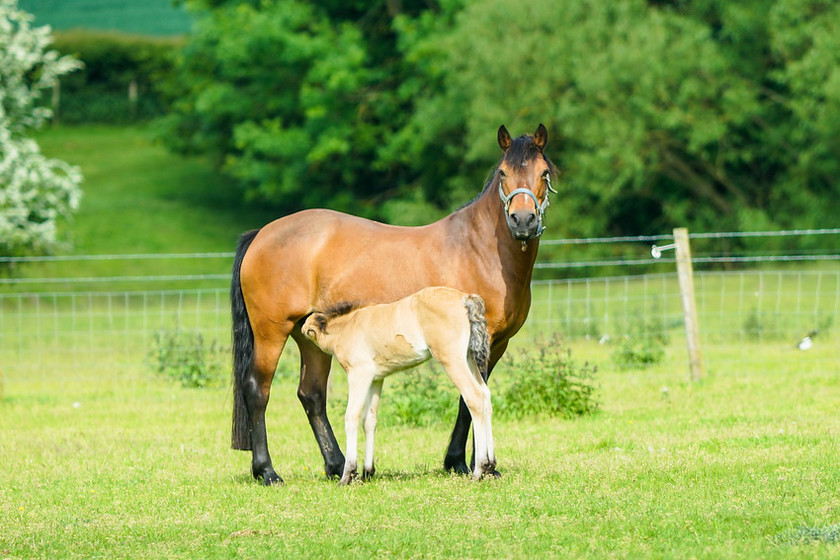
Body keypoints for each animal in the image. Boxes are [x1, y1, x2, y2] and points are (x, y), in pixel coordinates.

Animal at [304, 286, 496, 484]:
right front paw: (368, 472)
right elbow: (369, 420)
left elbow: (352, 417)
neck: (348, 327)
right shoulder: (376, 379)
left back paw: (479, 470)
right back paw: (489, 466)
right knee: (485, 396)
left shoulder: (358, 375)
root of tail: (465, 299)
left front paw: (348, 474)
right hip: (469, 359)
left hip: (452, 360)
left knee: (474, 397)